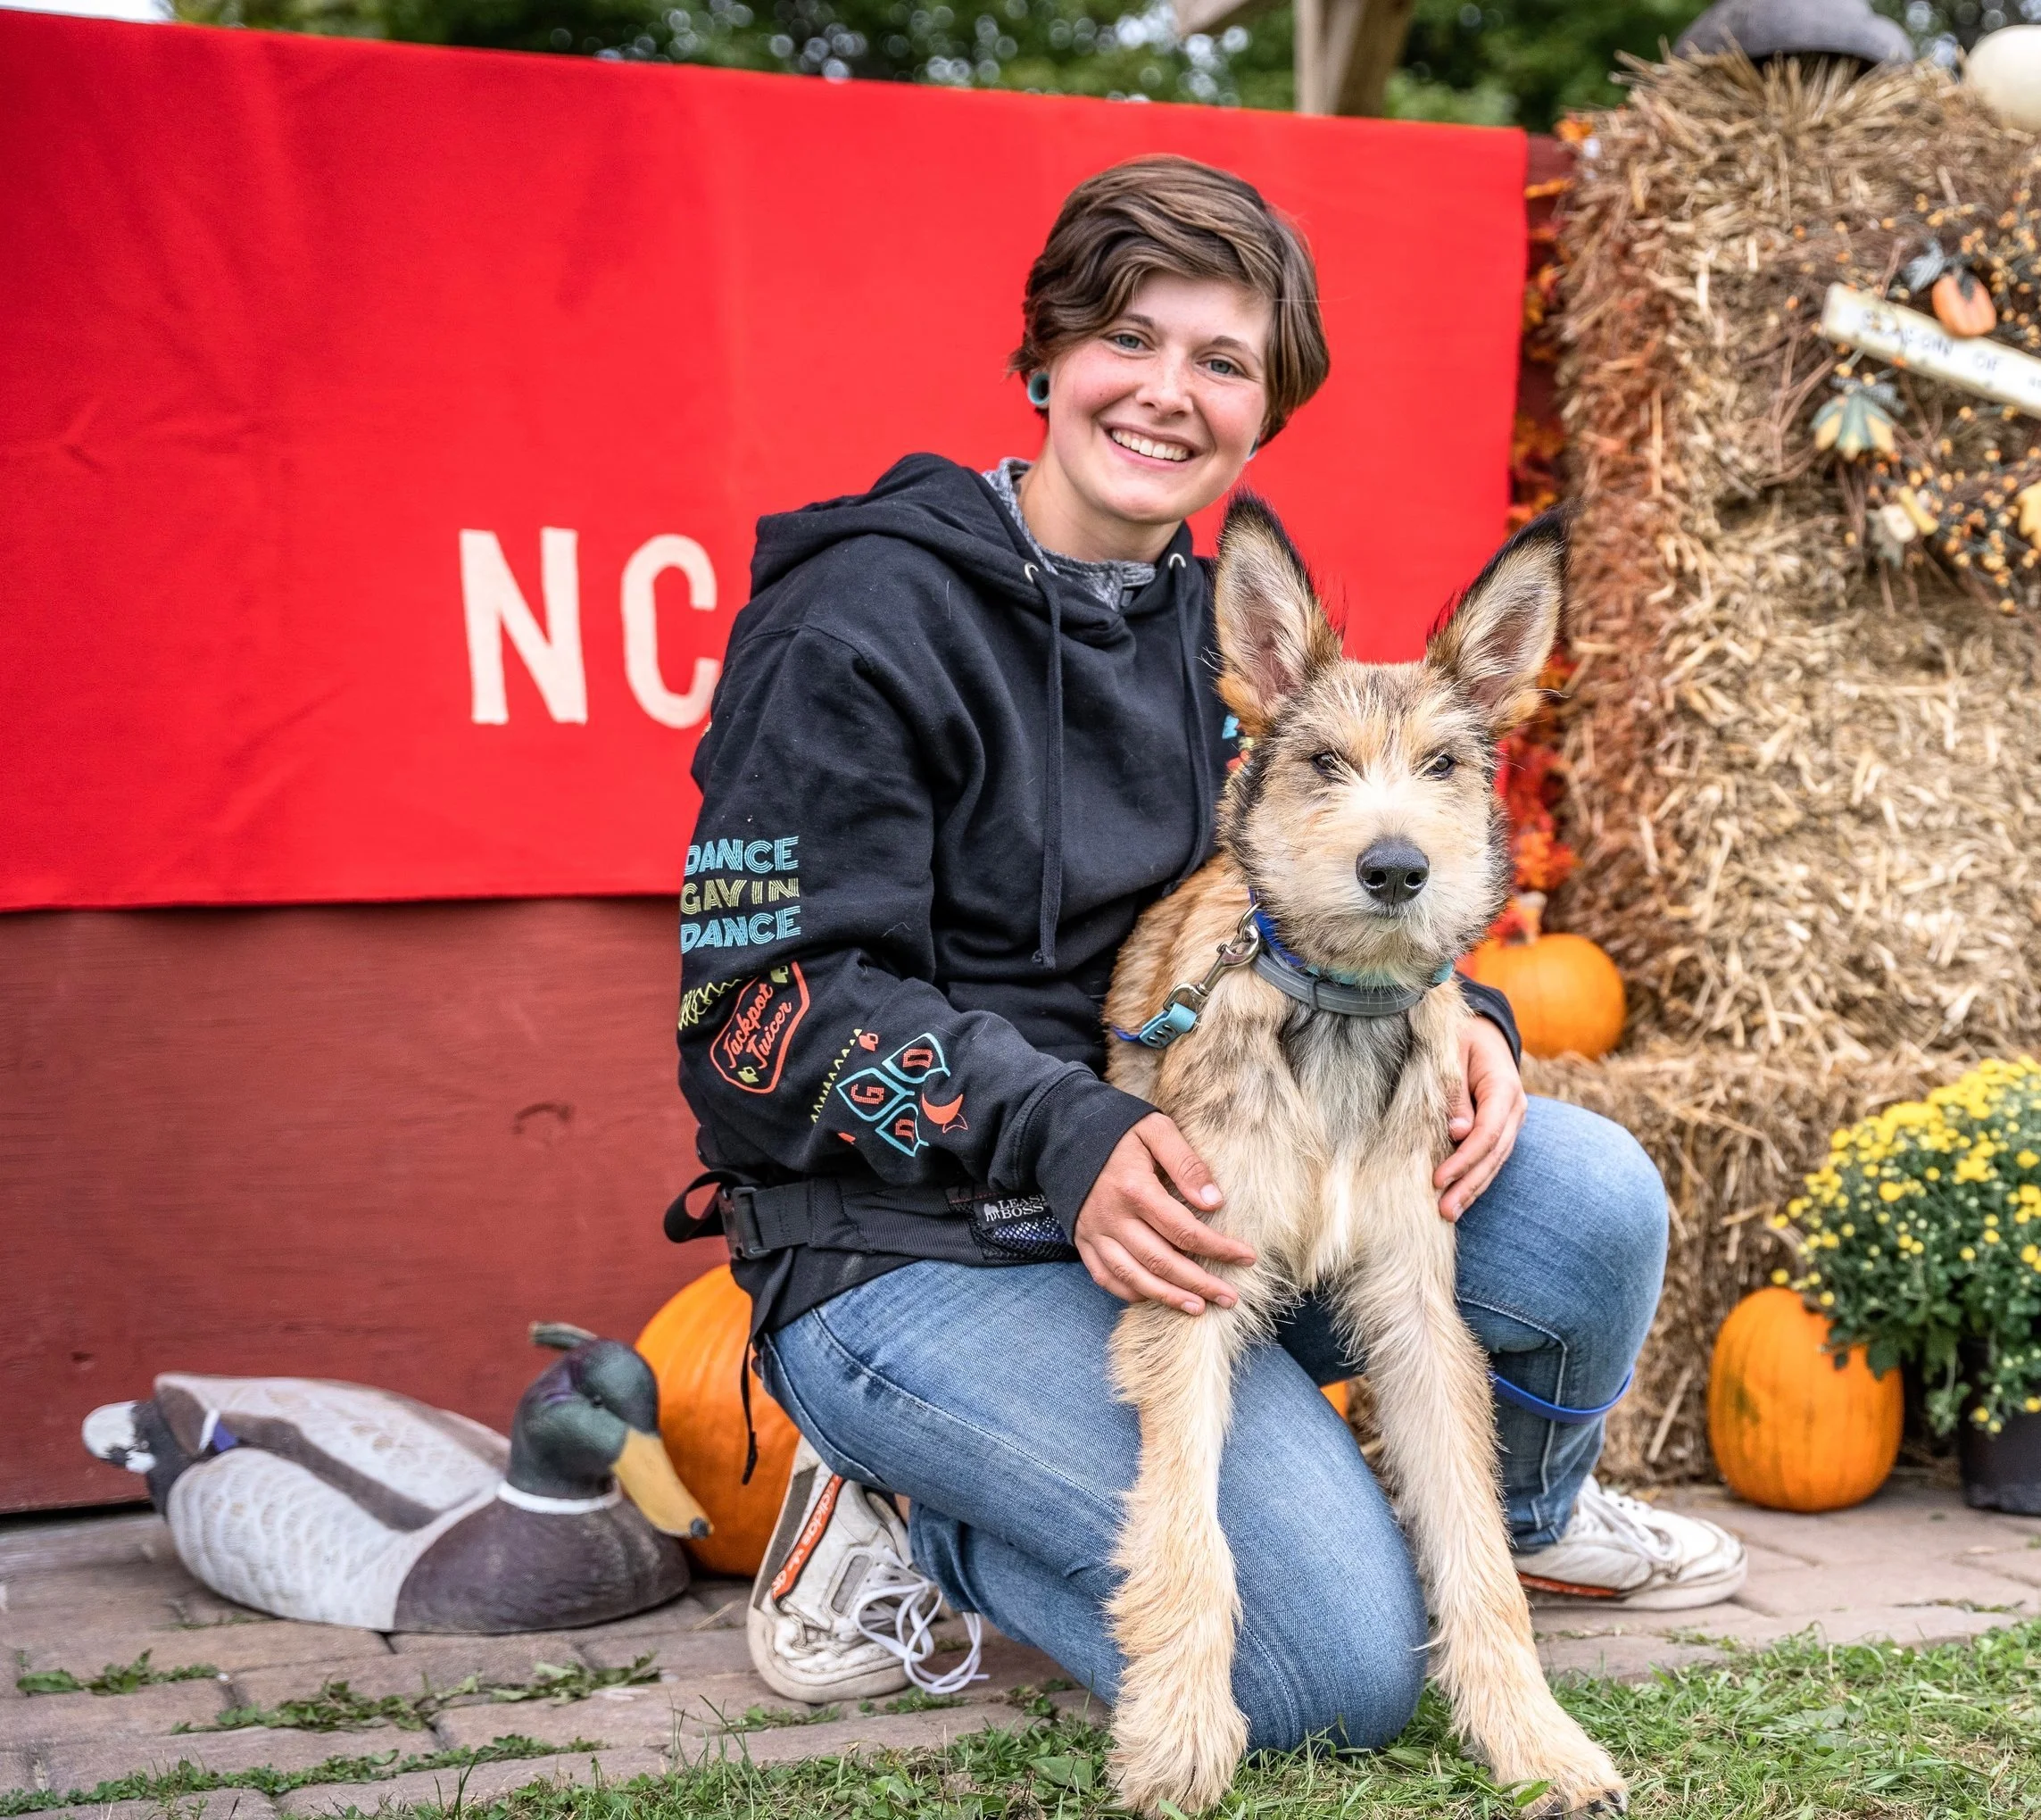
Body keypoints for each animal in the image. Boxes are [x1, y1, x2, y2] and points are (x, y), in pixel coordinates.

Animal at [1101, 498, 1625, 1817]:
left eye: (1442, 766)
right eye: (1322, 764)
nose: (1395, 866)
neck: (1338, 1013)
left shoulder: (1417, 1307)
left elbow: (1480, 1549)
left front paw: (1535, 1737)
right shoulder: (1187, 1282)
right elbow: (1186, 1533)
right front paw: (1178, 1730)